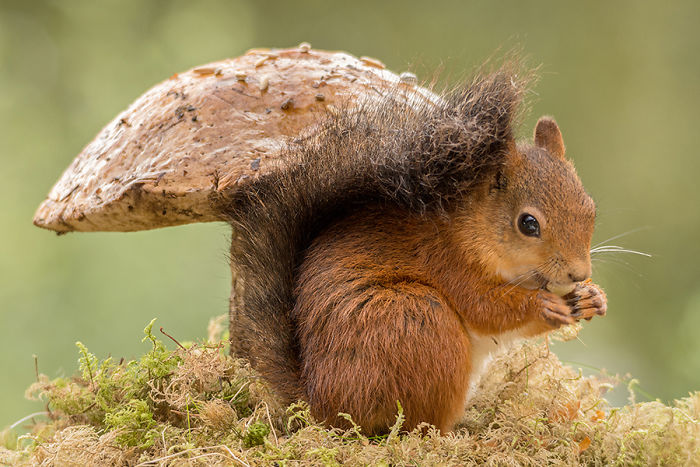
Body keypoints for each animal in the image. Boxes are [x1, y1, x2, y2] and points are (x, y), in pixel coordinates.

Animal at [220, 66, 608, 436]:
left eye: (590, 207)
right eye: (528, 224)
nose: (579, 273)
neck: (475, 228)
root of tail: (319, 404)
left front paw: (592, 298)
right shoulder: (447, 259)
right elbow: (485, 308)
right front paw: (541, 304)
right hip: (417, 320)